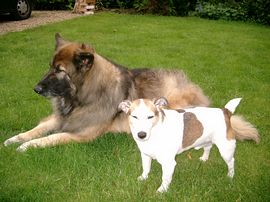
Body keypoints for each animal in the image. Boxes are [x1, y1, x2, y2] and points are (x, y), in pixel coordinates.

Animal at [2, 34, 260, 151]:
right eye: (49, 66)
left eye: (60, 70)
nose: (36, 89)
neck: (83, 97)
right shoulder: (60, 118)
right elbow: (37, 130)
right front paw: (16, 139)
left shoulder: (81, 134)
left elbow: (51, 137)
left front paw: (26, 147)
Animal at [118, 97, 260, 193]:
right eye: (134, 116)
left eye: (150, 117)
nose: (141, 134)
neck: (154, 132)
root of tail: (225, 111)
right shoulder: (145, 155)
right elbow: (146, 168)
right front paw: (143, 178)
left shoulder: (169, 163)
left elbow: (165, 178)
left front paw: (162, 190)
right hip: (207, 140)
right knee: (208, 147)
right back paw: (204, 158)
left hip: (226, 149)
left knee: (231, 162)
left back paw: (230, 176)